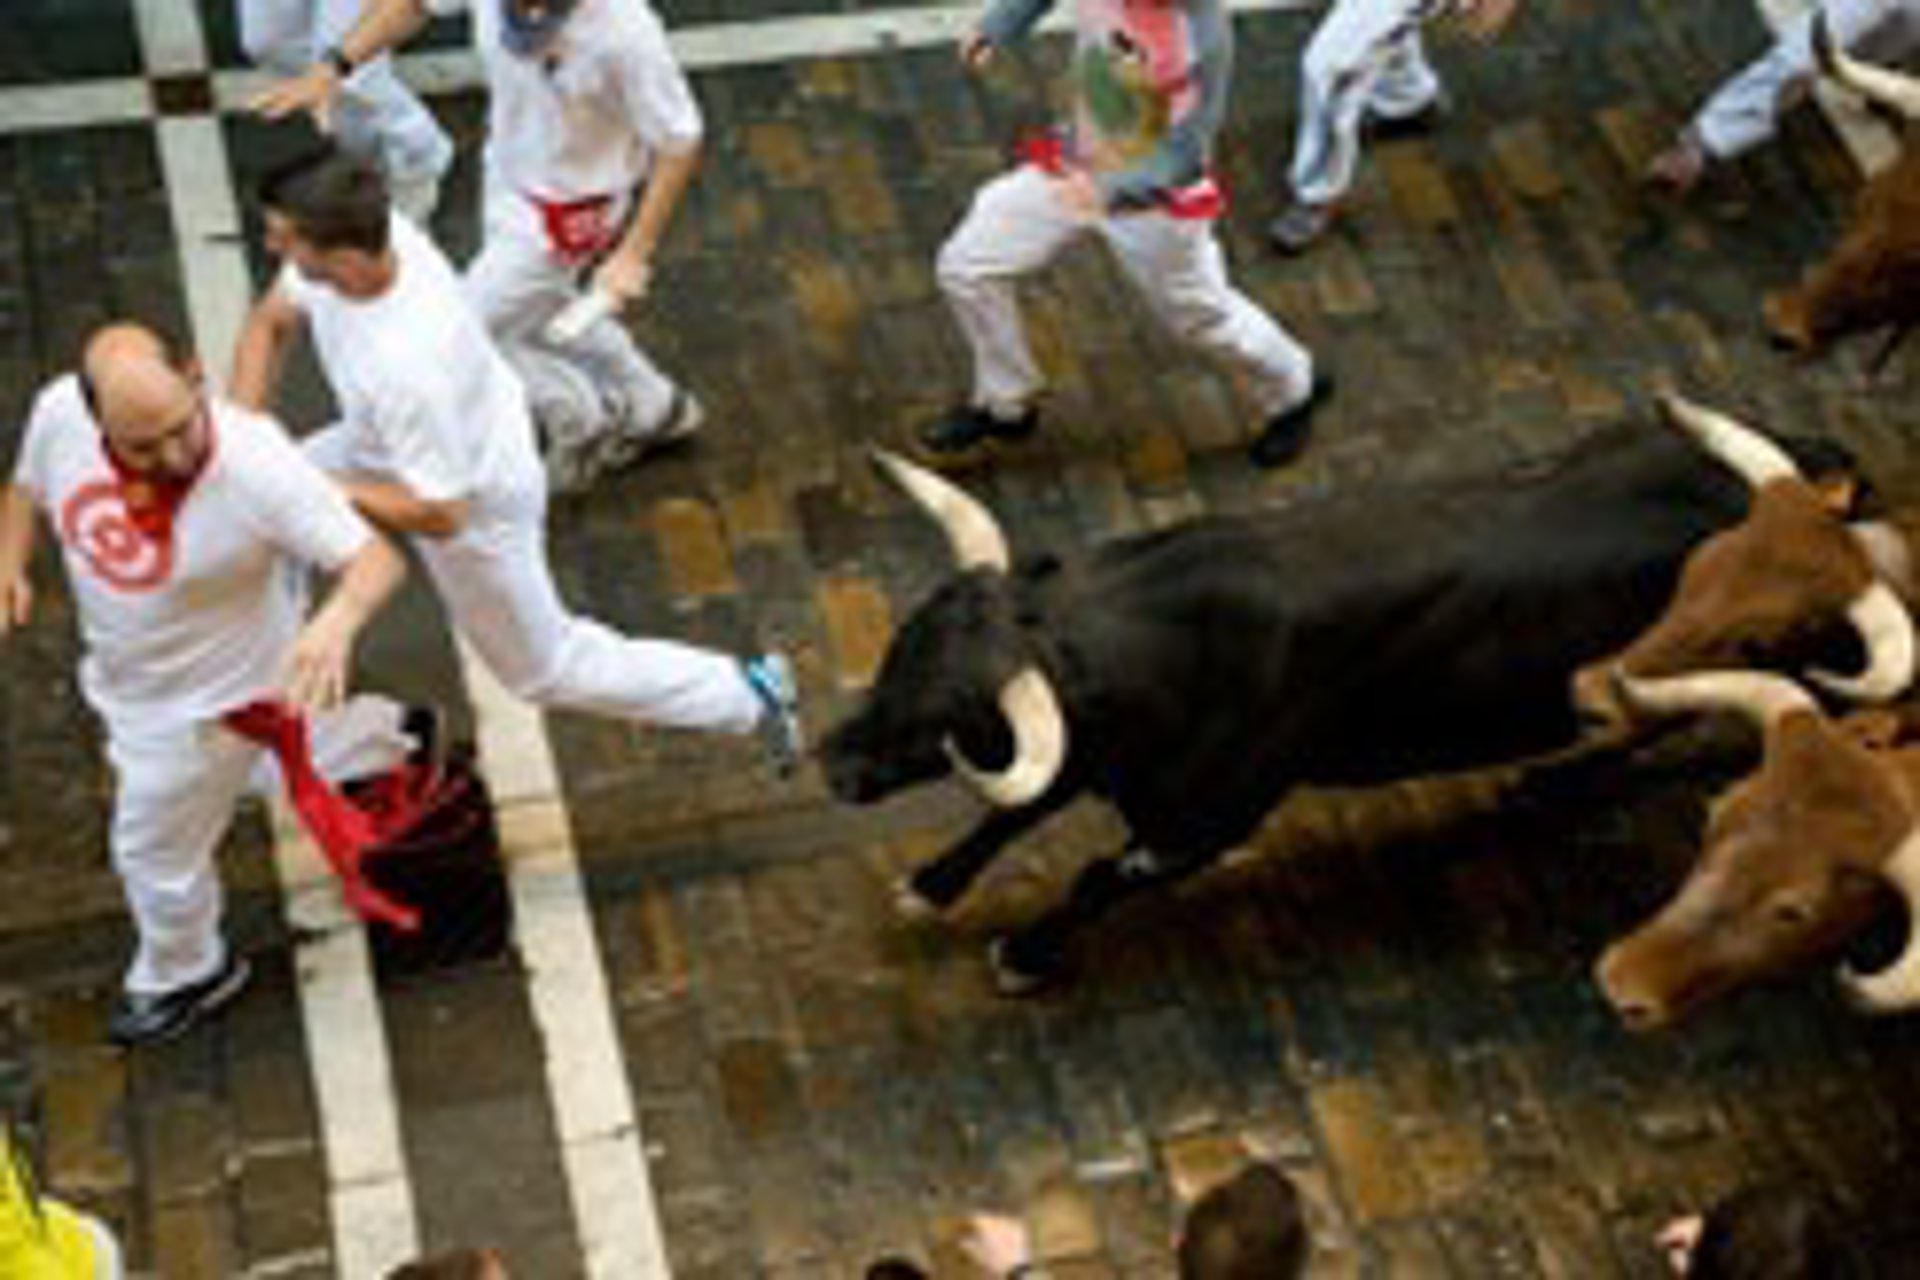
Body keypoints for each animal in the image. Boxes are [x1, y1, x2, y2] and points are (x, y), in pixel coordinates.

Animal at [820, 423, 1863, 992]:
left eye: (949, 718)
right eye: (901, 643)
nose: (833, 760)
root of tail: (1804, 478)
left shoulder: (1202, 826)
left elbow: (1093, 879)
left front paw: (1025, 953)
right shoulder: (1093, 755)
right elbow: (1017, 808)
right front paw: (933, 883)